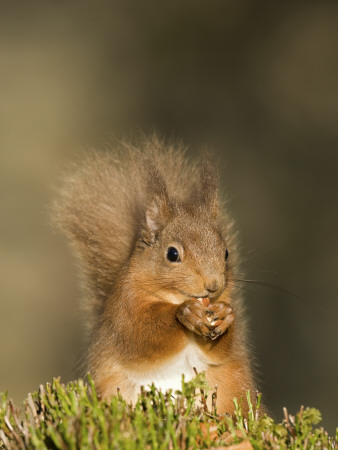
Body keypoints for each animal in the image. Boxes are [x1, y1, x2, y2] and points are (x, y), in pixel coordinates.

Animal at [54, 138, 256, 414]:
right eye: (172, 254)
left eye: (225, 253)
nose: (213, 285)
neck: (171, 296)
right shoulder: (123, 312)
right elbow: (140, 336)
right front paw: (185, 313)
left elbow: (221, 352)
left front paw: (225, 316)